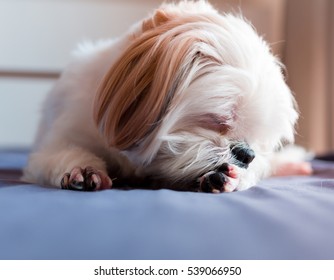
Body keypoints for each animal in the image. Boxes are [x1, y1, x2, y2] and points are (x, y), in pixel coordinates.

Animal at [22, 0, 310, 192]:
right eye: (218, 120)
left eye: (257, 141)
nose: (246, 153)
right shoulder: (61, 139)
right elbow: (61, 154)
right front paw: (83, 169)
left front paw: (229, 177)